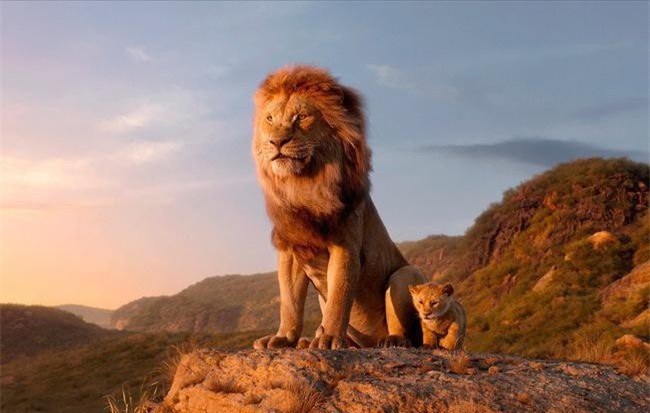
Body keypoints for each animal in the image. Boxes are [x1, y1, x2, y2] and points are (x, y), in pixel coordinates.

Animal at [251, 65, 427, 350]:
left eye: (301, 117)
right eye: (269, 118)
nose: (277, 142)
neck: (304, 184)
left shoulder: (345, 246)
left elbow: (339, 296)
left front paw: (330, 338)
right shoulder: (291, 249)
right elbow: (289, 301)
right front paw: (284, 338)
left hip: (404, 274)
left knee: (407, 332)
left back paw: (391, 340)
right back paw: (307, 341)